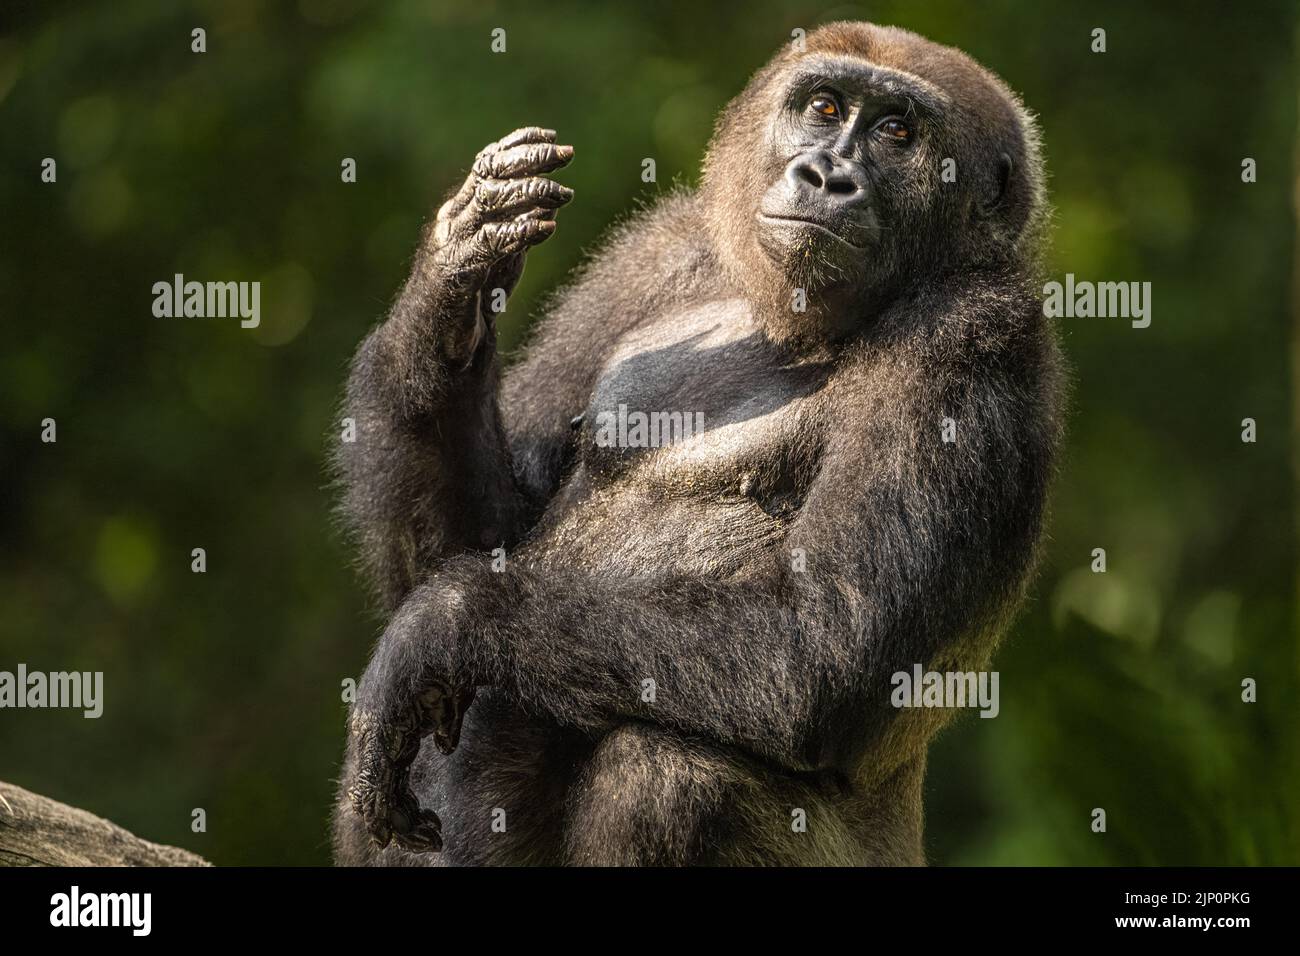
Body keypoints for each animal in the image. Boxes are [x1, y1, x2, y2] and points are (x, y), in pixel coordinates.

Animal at [332, 21, 1063, 866]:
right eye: (824, 106)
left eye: (896, 133)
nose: (827, 176)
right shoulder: (654, 250)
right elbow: (477, 541)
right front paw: (449, 288)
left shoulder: (974, 329)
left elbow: (826, 646)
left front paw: (442, 624)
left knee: (672, 768)